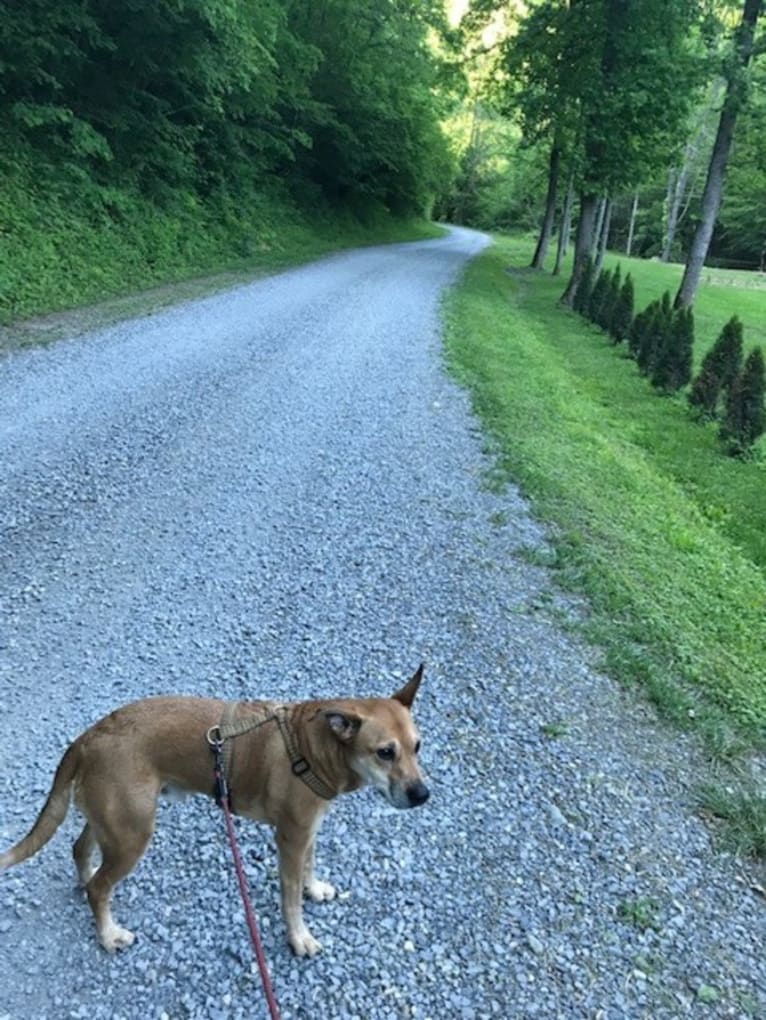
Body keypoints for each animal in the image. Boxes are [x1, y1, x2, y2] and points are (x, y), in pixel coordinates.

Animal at [0, 660, 432, 954]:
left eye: (417, 746)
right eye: (385, 753)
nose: (423, 794)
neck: (315, 745)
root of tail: (88, 737)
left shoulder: (308, 830)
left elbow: (309, 870)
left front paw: (314, 889)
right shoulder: (290, 839)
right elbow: (290, 897)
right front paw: (299, 938)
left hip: (112, 821)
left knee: (81, 851)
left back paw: (85, 878)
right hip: (132, 835)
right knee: (99, 888)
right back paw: (108, 935)